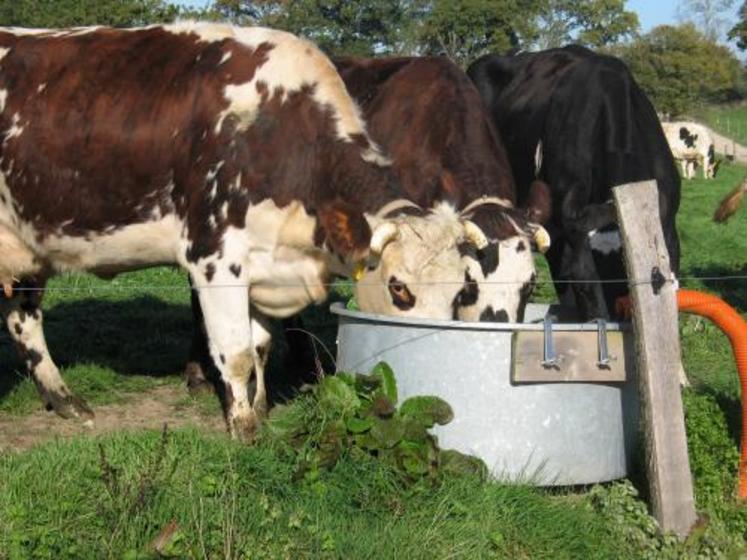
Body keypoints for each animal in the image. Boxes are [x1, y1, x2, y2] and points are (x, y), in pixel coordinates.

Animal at [0, 23, 490, 442]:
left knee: (23, 317)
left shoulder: (264, 261)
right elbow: (235, 352)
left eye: (461, 291)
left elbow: (260, 347)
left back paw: (64, 399)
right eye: (399, 288)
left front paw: (258, 409)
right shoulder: (214, 257)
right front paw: (243, 430)